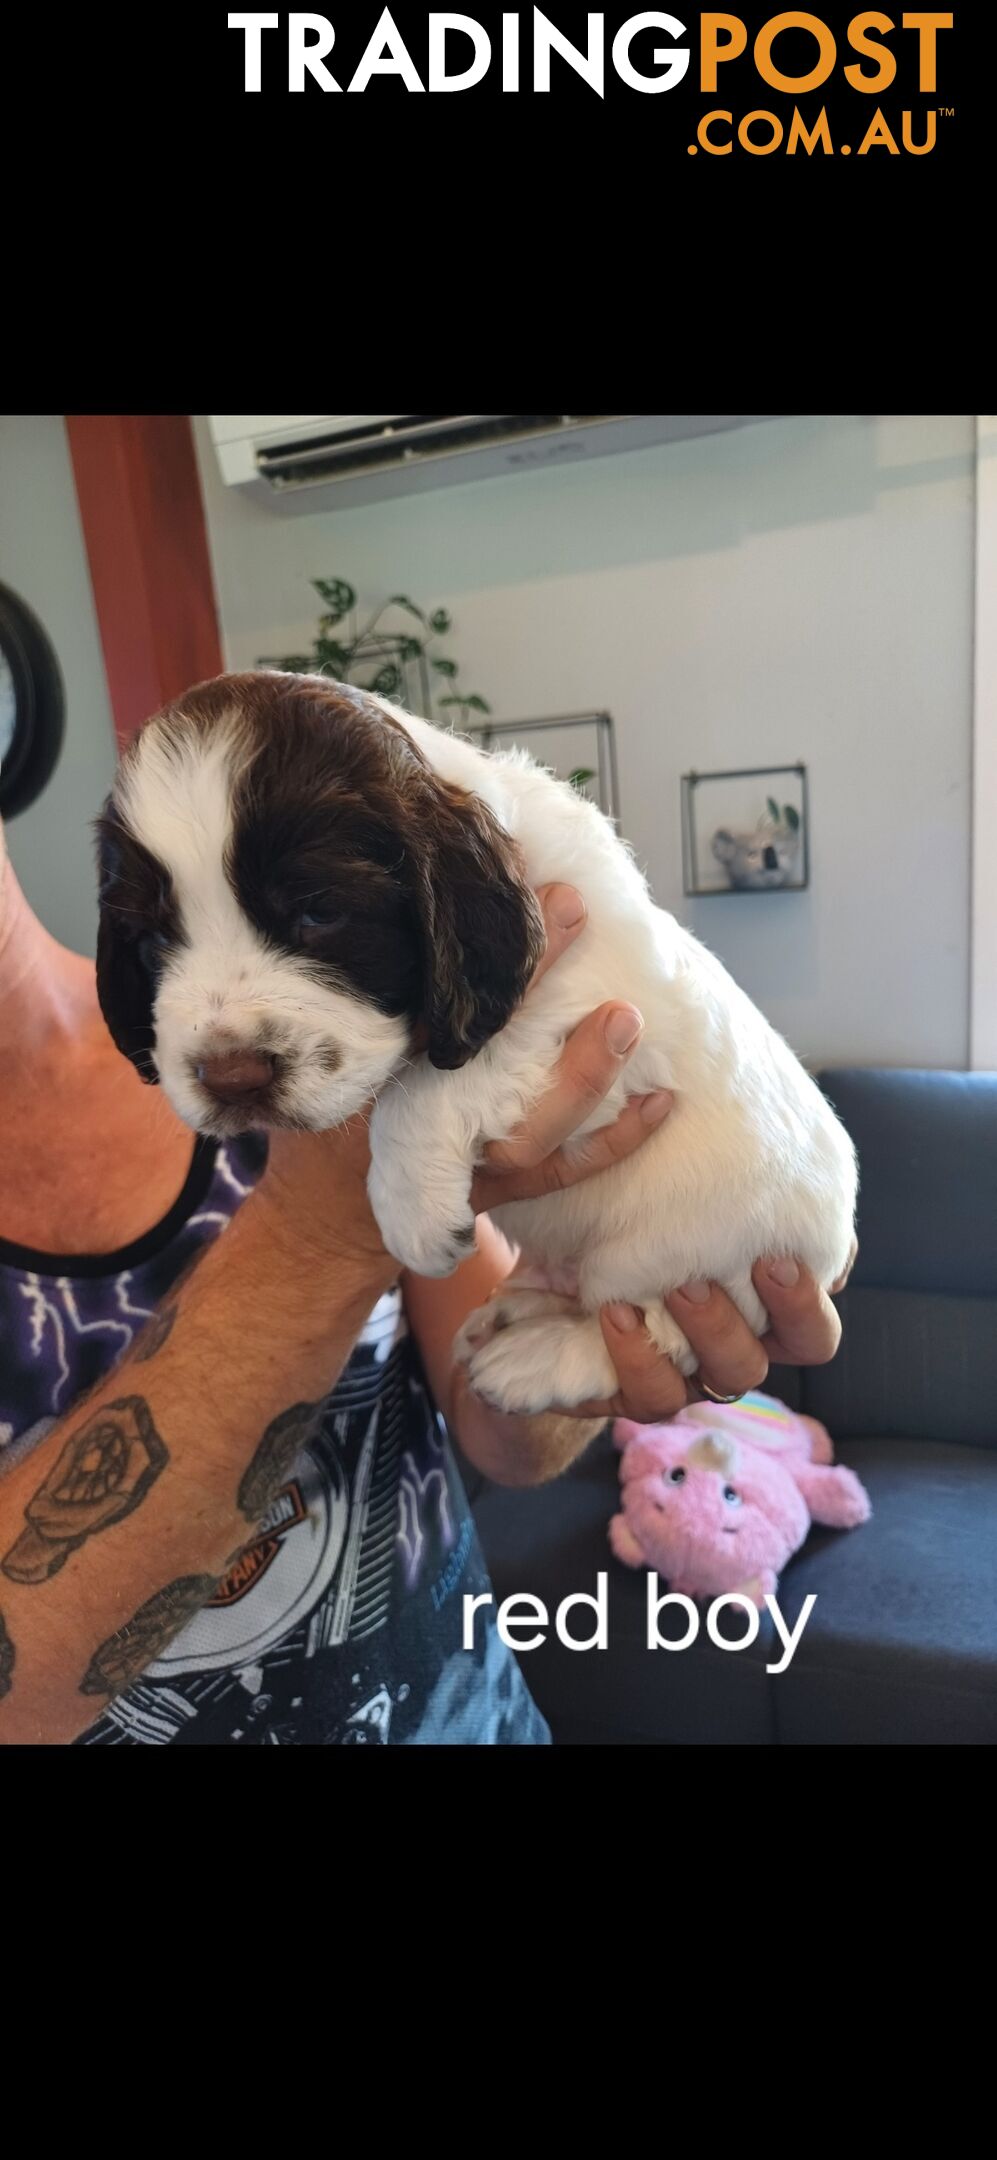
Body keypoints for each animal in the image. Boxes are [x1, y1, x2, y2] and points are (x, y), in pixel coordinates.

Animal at [95, 673, 858, 1416]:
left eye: (319, 912)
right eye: (154, 938)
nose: (231, 1078)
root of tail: (832, 1245)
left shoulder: (591, 1011)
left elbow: (428, 1084)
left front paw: (413, 1217)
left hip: (690, 1254)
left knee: (646, 1323)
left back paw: (536, 1358)